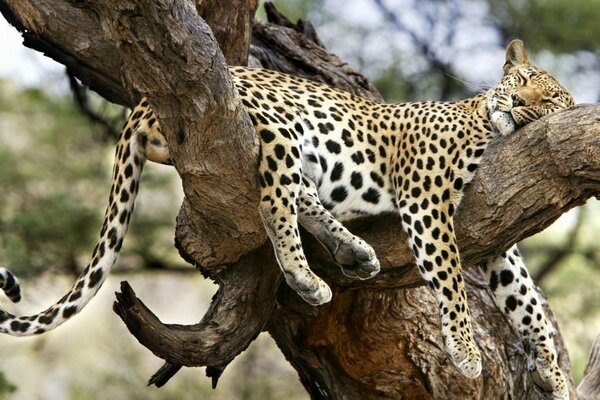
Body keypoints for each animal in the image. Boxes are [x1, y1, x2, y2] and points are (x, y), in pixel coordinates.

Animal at [0, 39, 572, 396]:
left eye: (547, 101)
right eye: (521, 80)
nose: (517, 103)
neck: (487, 125)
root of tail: (140, 102)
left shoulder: (498, 236)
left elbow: (527, 301)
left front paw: (554, 373)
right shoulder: (426, 200)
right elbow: (451, 281)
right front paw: (467, 353)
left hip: (304, 154)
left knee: (300, 195)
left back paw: (352, 252)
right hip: (277, 125)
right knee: (274, 201)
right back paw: (305, 277)